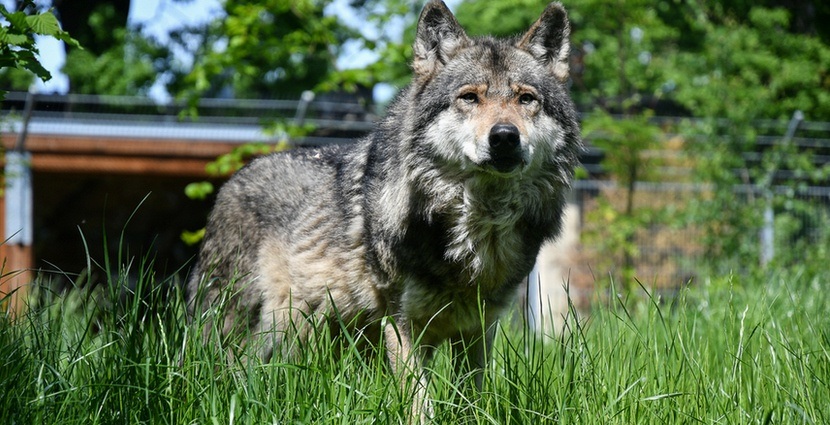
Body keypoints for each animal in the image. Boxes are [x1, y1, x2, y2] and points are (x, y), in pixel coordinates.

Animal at [188, 0, 580, 416]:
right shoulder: (402, 324)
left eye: (526, 99)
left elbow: (472, 401)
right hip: (248, 329)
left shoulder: (479, 328)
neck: (474, 226)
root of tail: (232, 180)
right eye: (469, 98)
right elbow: (420, 404)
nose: (504, 137)